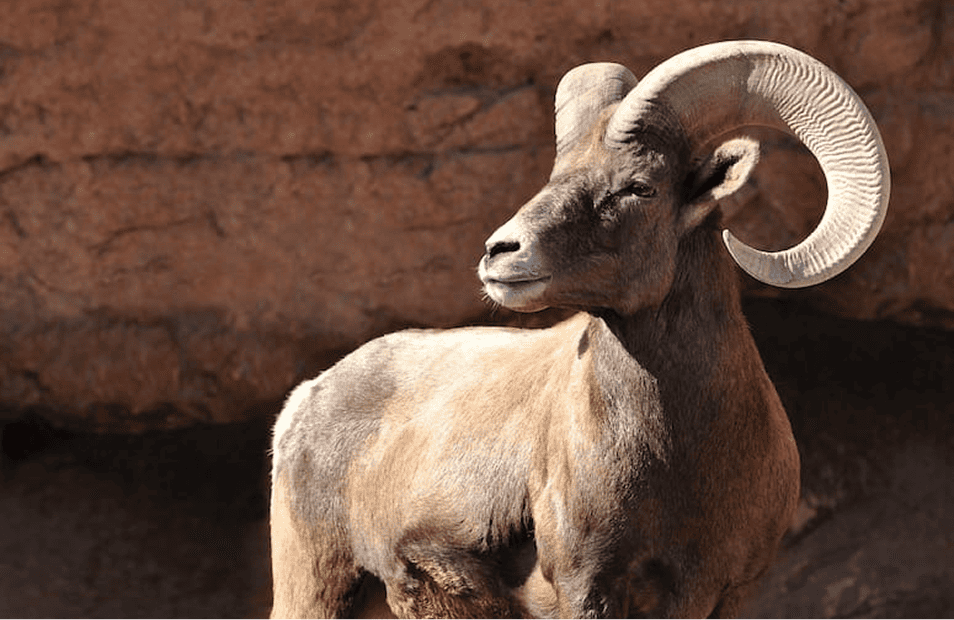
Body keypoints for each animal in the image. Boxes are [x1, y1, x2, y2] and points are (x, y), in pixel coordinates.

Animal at [269, 40, 890, 619]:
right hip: (315, 592)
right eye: (556, 176)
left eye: (640, 187)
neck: (682, 461)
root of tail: (304, 402)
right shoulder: (587, 588)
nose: (501, 251)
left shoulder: (725, 593)